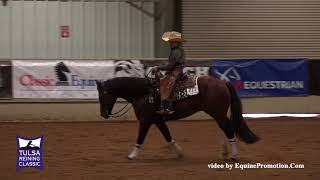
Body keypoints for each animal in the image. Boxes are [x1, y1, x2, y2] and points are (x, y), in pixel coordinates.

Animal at [95, 73, 260, 160]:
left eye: (102, 96)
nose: (103, 114)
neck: (144, 93)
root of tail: (223, 82)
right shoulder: (158, 120)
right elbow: (168, 136)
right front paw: (179, 152)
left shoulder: (145, 121)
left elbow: (140, 137)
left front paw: (132, 155)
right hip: (218, 114)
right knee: (227, 128)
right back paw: (225, 152)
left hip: (217, 113)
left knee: (228, 129)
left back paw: (233, 154)